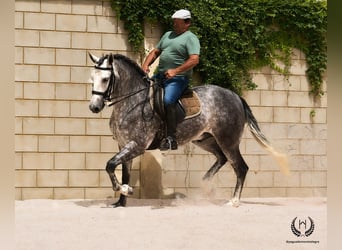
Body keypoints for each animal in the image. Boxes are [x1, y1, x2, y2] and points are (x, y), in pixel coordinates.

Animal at [88, 52, 288, 207]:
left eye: (105, 79)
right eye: (92, 79)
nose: (94, 107)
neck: (133, 102)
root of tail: (236, 96)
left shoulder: (137, 145)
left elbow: (110, 165)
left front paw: (125, 190)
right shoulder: (123, 145)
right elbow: (123, 172)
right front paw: (121, 201)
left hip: (228, 141)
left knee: (241, 167)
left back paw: (234, 201)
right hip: (205, 140)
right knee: (221, 159)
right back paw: (206, 186)